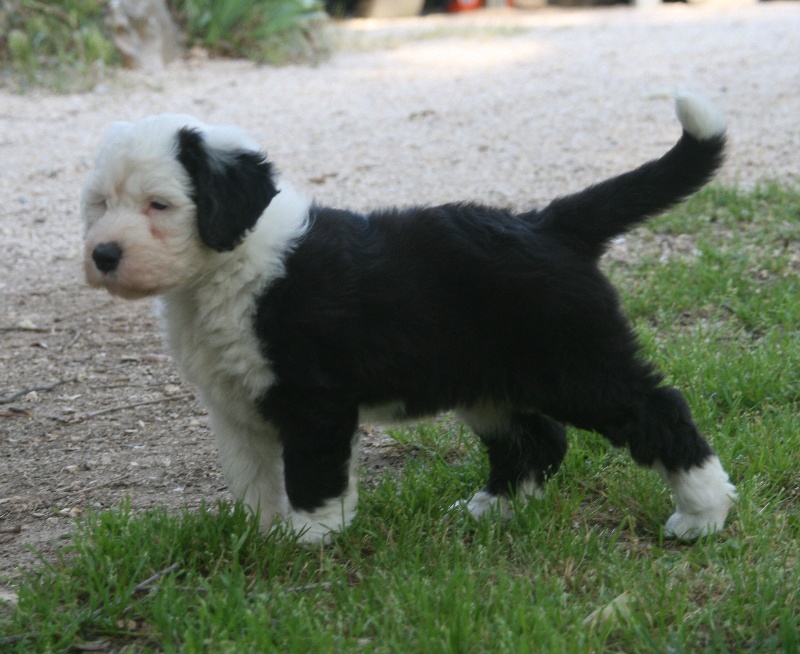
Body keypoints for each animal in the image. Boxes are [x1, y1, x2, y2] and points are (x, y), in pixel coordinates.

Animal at [82, 92, 737, 544]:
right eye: (100, 203)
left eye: (160, 205)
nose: (103, 255)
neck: (231, 267)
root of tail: (548, 224)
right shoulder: (233, 407)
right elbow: (251, 480)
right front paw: (256, 540)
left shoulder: (314, 400)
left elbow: (313, 476)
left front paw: (310, 539)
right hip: (487, 383)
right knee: (538, 439)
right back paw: (493, 510)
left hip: (578, 365)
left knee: (659, 411)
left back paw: (702, 515)